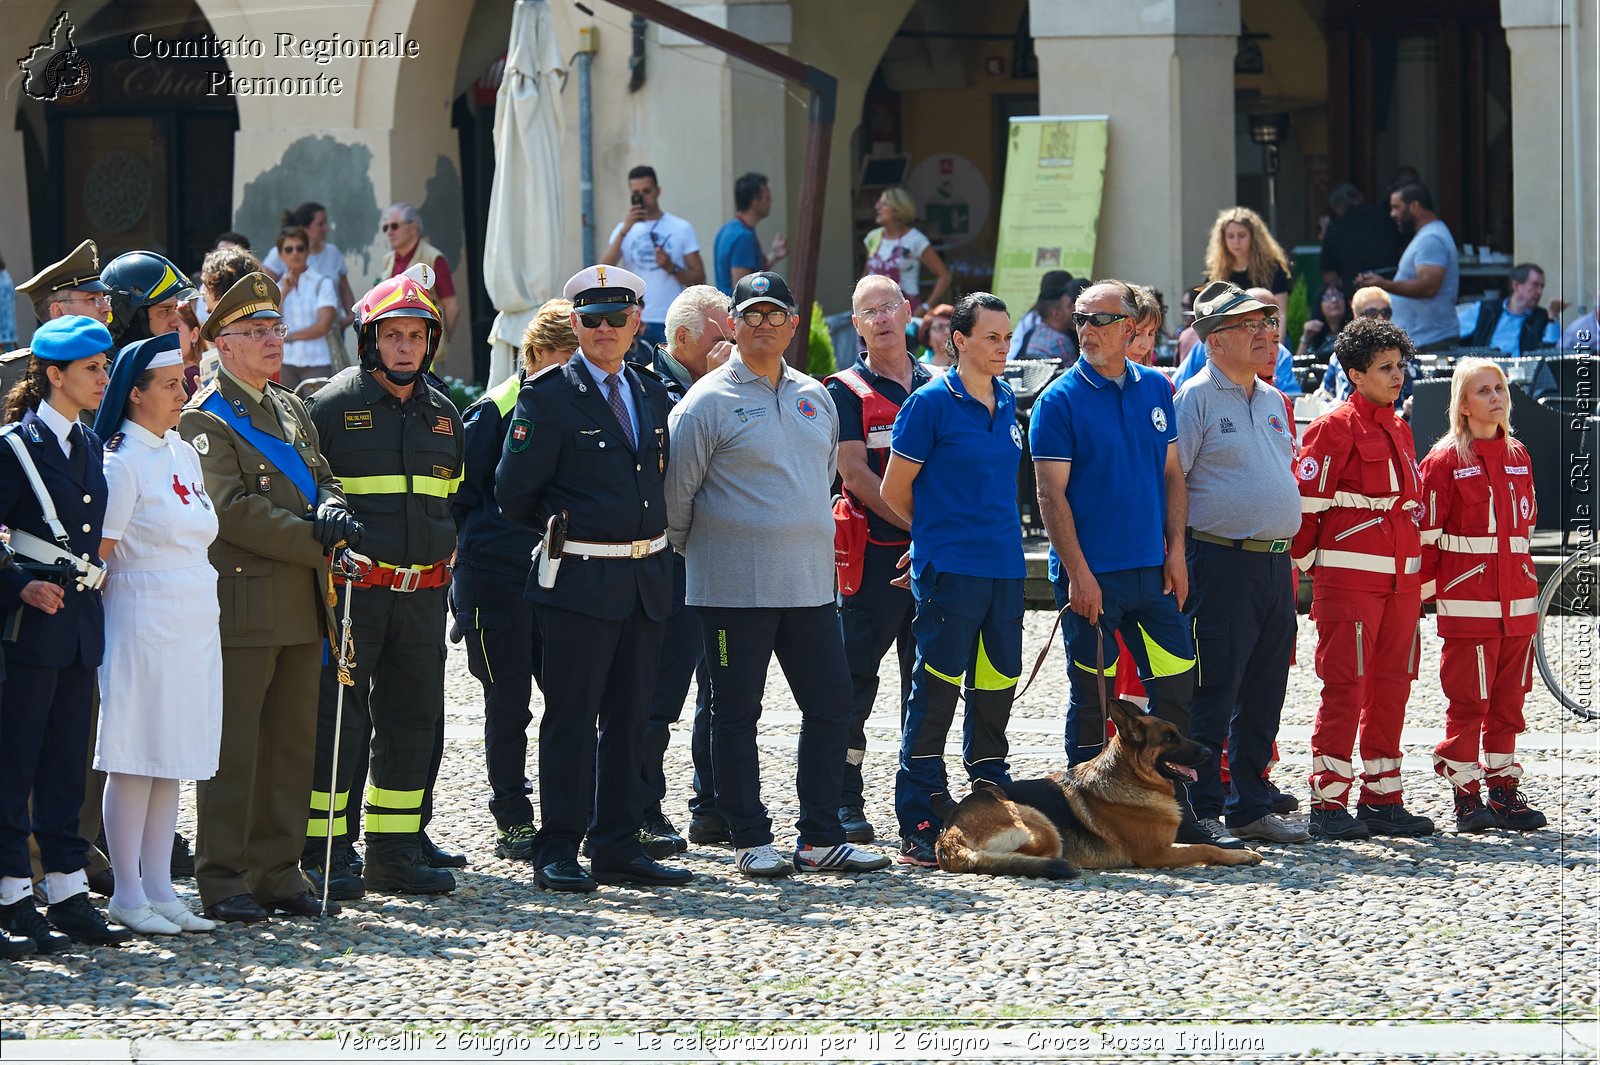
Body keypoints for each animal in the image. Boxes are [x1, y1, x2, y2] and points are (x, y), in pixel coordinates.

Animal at [934, 694, 1260, 876]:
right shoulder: (1156, 854)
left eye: (1178, 733)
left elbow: (1204, 843)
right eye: (1169, 738)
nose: (1209, 753)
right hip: (1037, 820)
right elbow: (1205, 848)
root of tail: (948, 837)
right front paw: (1240, 856)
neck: (1132, 779)